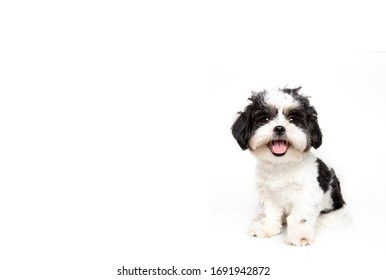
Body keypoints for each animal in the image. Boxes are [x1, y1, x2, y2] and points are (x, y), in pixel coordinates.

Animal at [231, 86, 346, 246]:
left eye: (293, 119)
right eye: (265, 119)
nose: (279, 128)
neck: (282, 165)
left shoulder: (307, 193)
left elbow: (301, 217)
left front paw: (300, 235)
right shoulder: (268, 194)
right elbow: (269, 212)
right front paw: (266, 227)